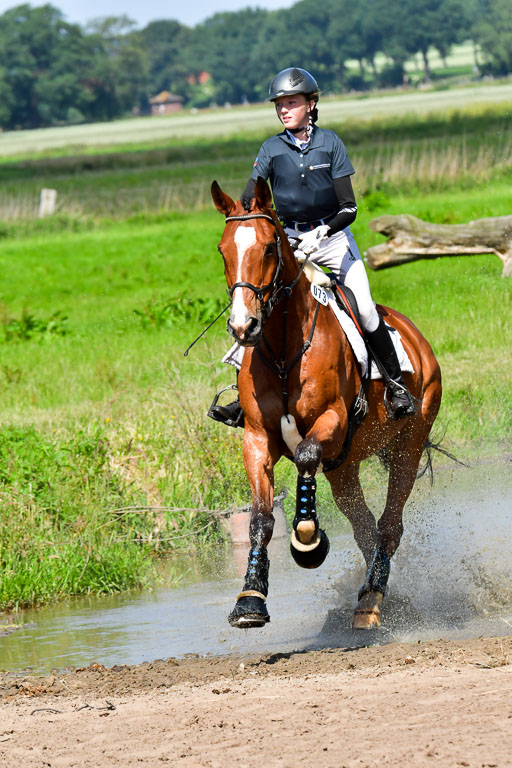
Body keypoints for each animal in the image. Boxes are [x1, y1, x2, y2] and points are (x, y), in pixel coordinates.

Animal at [211, 177, 442, 630]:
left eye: (268, 249)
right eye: (223, 250)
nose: (243, 327)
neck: (285, 350)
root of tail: (415, 337)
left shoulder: (332, 420)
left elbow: (304, 454)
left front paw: (308, 540)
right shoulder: (257, 438)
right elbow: (260, 518)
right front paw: (250, 599)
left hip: (408, 442)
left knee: (389, 525)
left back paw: (370, 599)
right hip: (344, 468)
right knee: (367, 528)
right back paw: (375, 590)